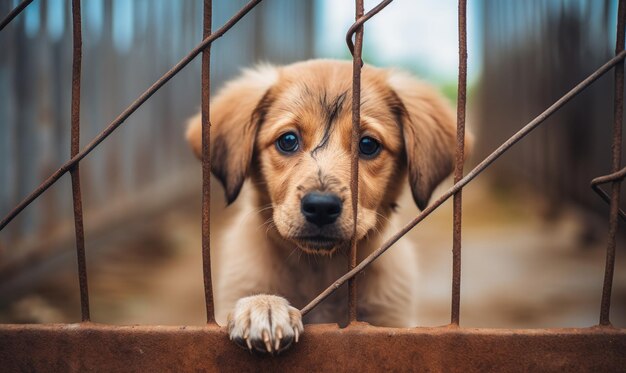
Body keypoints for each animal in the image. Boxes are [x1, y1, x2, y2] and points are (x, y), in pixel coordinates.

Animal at [183, 58, 466, 352]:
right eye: (288, 140)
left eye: (368, 144)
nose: (320, 207)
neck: (319, 270)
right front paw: (264, 306)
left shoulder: (391, 321)